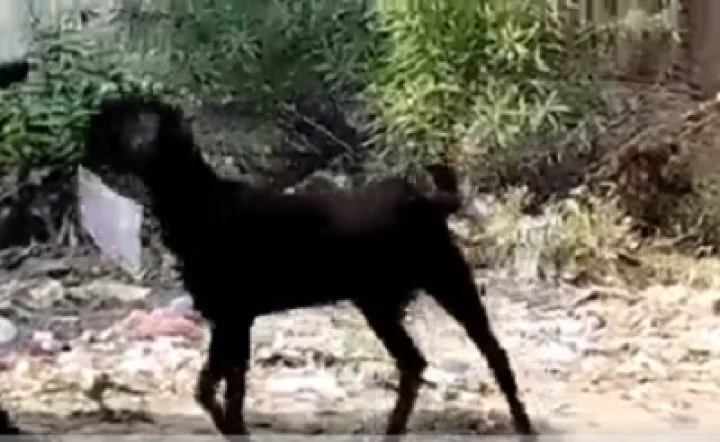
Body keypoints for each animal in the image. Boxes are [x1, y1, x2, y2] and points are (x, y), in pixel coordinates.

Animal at [82, 95, 534, 437]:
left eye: (117, 120)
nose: (86, 124)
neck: (197, 199)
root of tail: (424, 201)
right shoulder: (234, 325)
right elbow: (225, 391)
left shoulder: (230, 320)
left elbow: (213, 392)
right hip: (402, 298)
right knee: (433, 361)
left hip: (434, 291)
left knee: (478, 357)